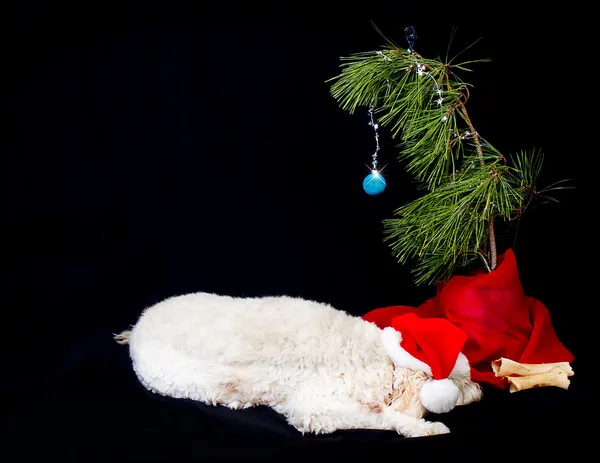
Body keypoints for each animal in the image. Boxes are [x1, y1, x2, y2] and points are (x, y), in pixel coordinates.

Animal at [116, 294, 482, 438]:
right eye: (460, 380)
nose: (480, 389)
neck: (381, 359)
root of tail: (139, 324)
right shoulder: (313, 407)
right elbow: (380, 417)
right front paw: (425, 428)